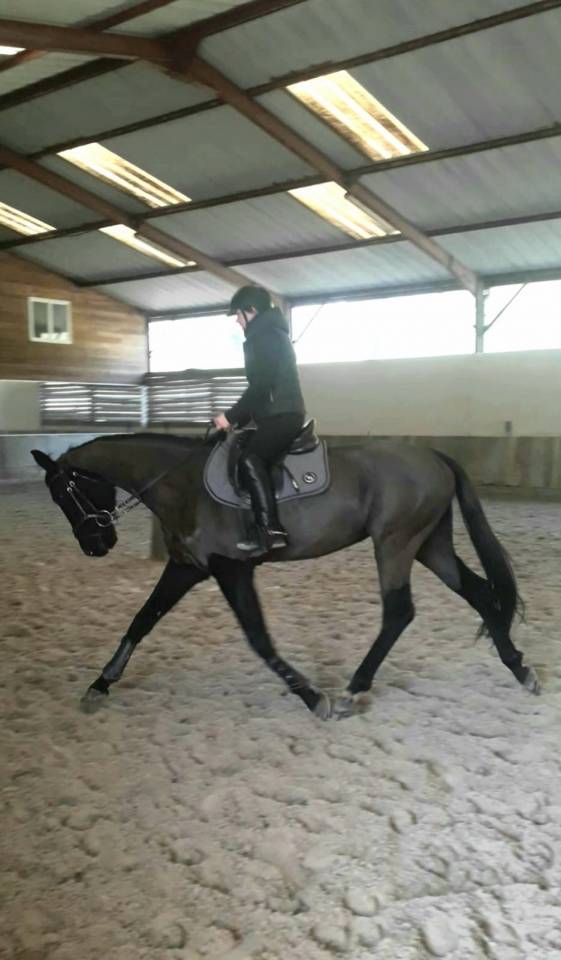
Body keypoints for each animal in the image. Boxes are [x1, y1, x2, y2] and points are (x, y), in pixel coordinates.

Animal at [31, 430, 539, 720]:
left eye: (65, 492)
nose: (96, 546)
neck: (182, 485)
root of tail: (434, 456)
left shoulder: (231, 569)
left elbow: (259, 639)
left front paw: (313, 698)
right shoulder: (187, 567)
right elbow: (142, 619)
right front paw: (100, 686)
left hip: (396, 543)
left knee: (399, 612)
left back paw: (351, 692)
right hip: (430, 544)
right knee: (479, 592)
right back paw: (519, 668)